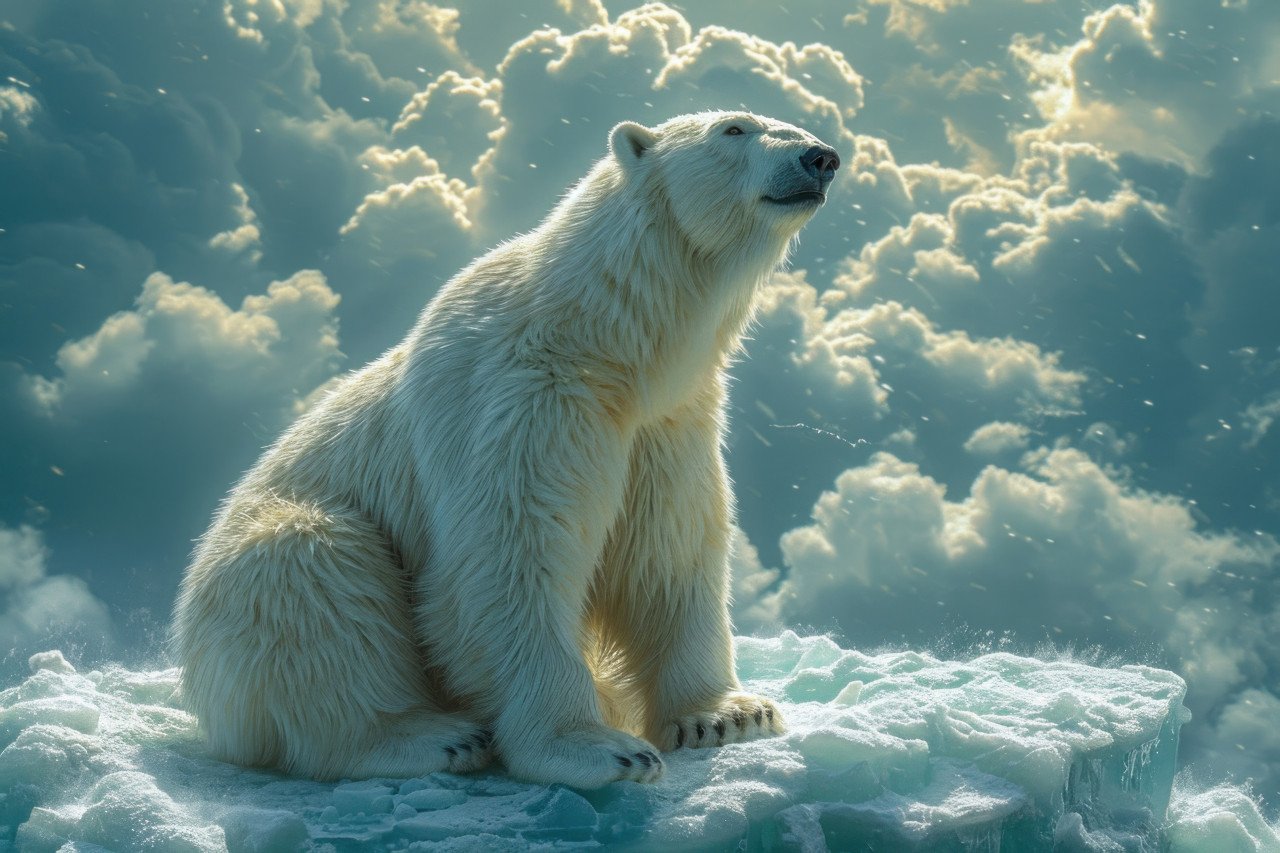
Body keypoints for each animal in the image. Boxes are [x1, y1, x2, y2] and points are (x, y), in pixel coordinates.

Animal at [172, 110, 839, 788]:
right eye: (734, 129)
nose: (822, 157)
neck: (606, 344)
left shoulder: (666, 425)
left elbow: (667, 549)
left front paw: (727, 715)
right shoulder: (522, 400)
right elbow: (508, 557)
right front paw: (601, 748)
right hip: (260, 563)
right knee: (310, 572)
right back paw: (431, 736)